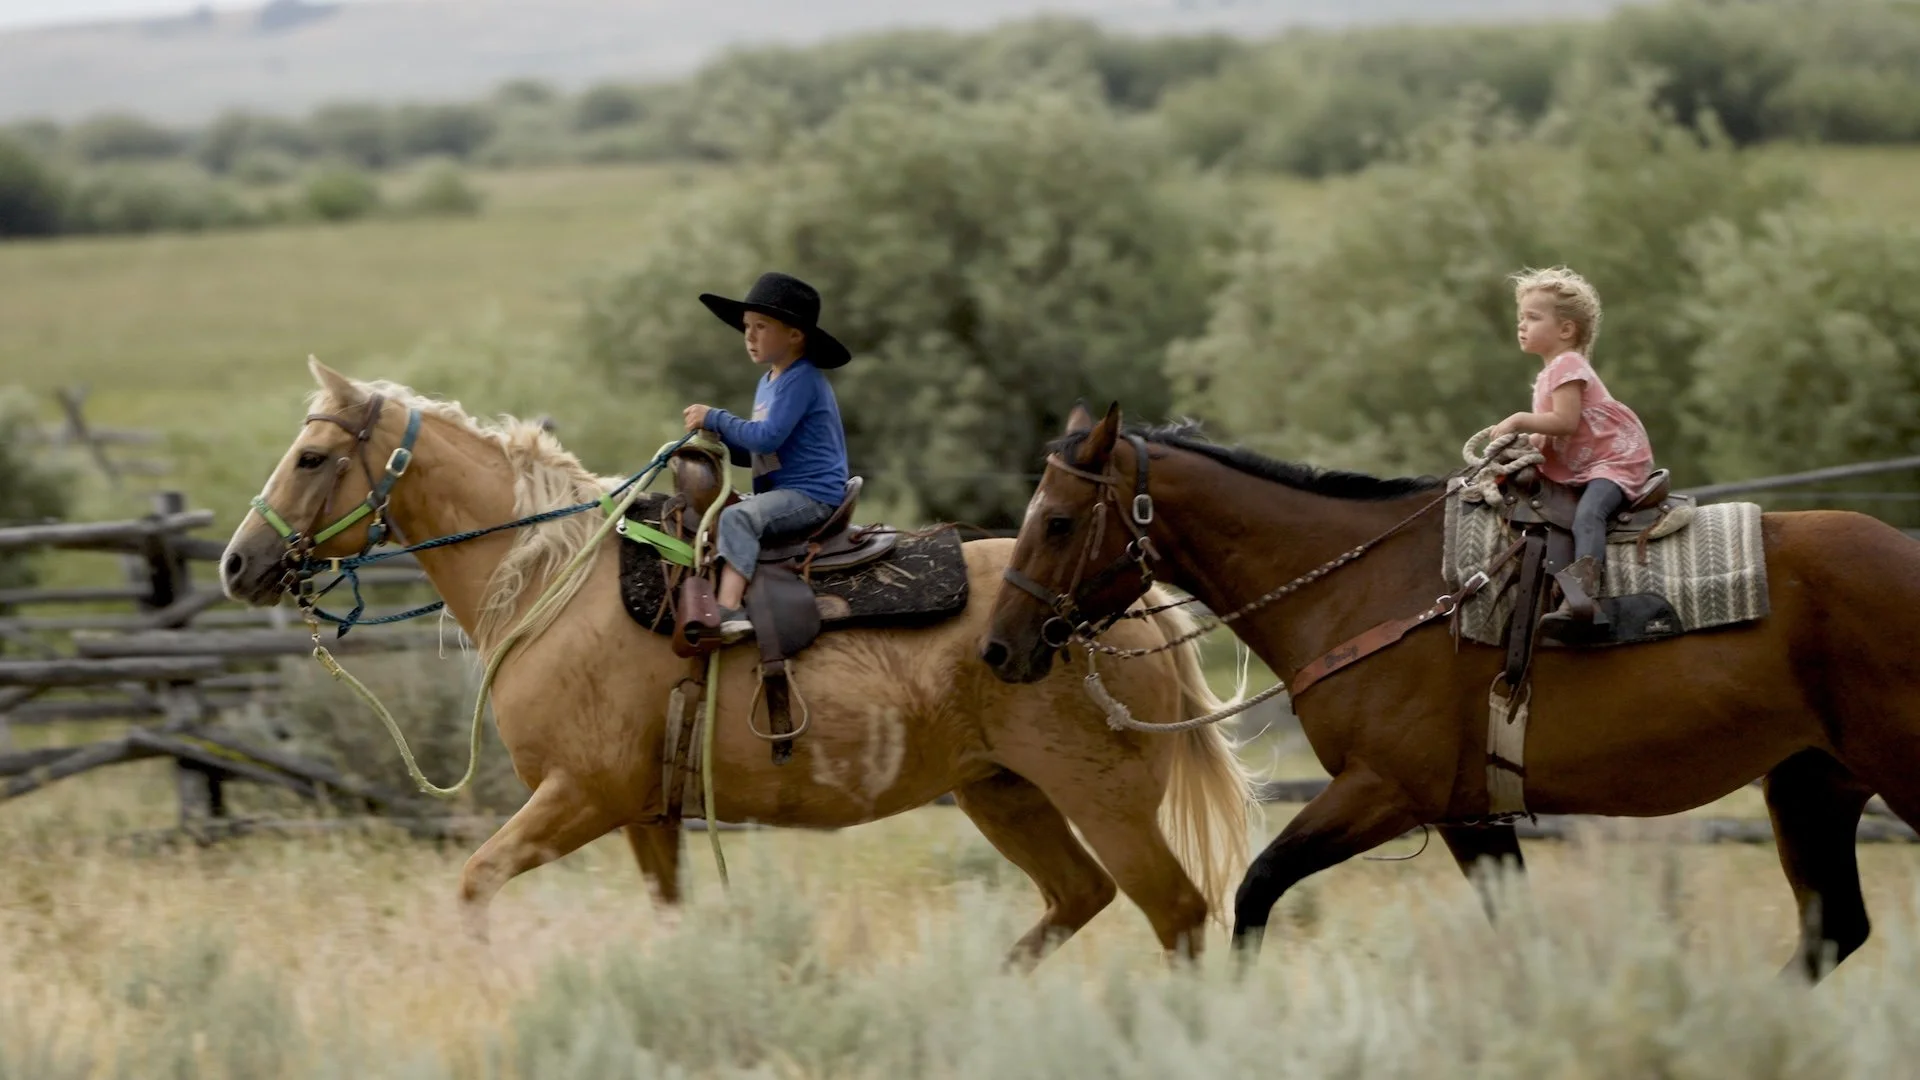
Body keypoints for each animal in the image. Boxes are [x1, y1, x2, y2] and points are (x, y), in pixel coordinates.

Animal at [217, 359, 1256, 964]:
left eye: (311, 458)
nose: (237, 563)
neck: (554, 582)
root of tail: (1133, 605)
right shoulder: (646, 812)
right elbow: (668, 916)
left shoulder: (581, 793)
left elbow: (474, 882)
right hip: (1004, 793)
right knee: (1081, 899)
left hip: (1104, 801)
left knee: (1178, 915)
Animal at [981, 400, 1920, 983]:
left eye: (1057, 521)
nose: (998, 647)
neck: (1366, 589)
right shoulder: (1474, 817)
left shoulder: (1385, 792)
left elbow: (1255, 889)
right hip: (1809, 784)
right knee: (1835, 930)